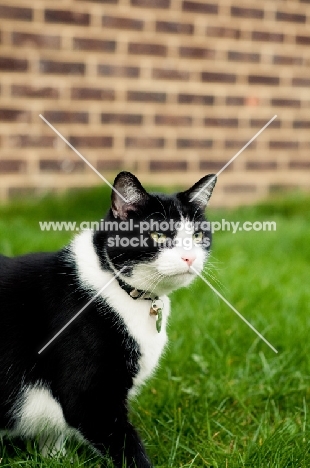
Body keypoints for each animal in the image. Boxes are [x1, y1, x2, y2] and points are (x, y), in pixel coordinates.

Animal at [0, 172, 216, 468]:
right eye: (158, 234)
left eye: (197, 235)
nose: (190, 257)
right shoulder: (91, 398)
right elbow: (125, 446)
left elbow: (52, 436)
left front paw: (56, 458)